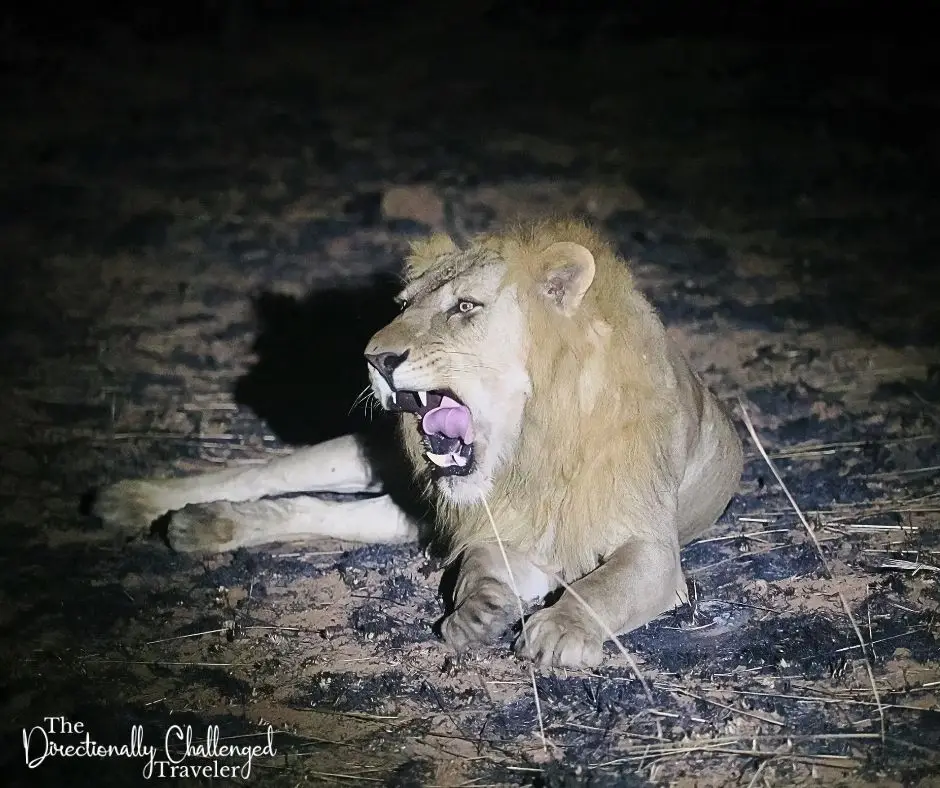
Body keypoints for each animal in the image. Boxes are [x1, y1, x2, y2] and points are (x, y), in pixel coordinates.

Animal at [94, 218, 743, 669]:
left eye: (465, 308)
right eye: (405, 305)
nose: (375, 358)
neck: (525, 451)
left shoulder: (651, 552)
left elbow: (606, 585)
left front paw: (558, 630)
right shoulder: (500, 525)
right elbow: (483, 561)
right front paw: (480, 608)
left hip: (407, 512)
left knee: (311, 509)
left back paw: (201, 524)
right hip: (370, 462)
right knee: (266, 476)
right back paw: (137, 502)